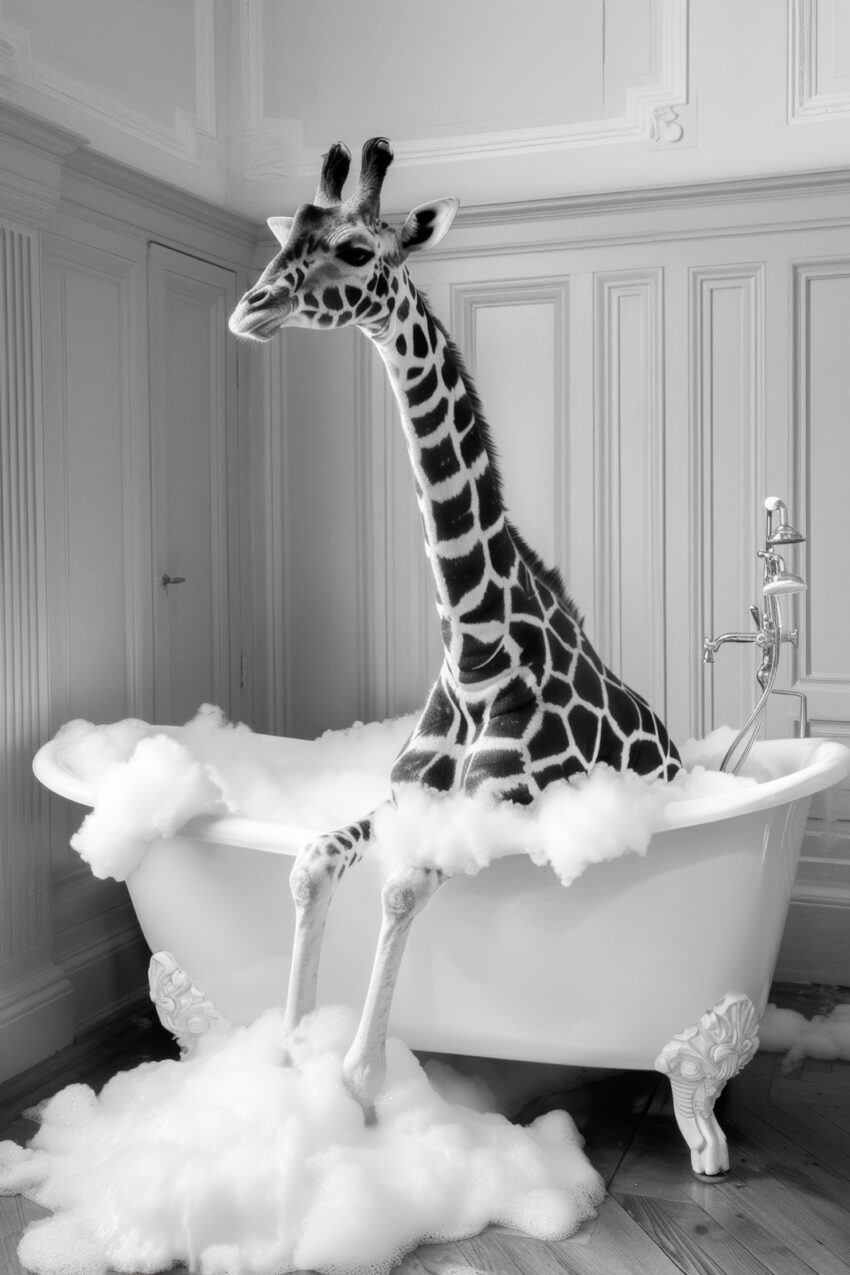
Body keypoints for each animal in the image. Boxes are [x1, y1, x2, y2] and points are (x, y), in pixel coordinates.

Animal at [229, 138, 682, 1120]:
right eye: (289, 239)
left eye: (358, 250)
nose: (251, 307)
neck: (477, 644)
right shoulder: (408, 799)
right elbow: (311, 860)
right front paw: (285, 1051)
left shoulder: (497, 806)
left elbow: (400, 888)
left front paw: (357, 1084)